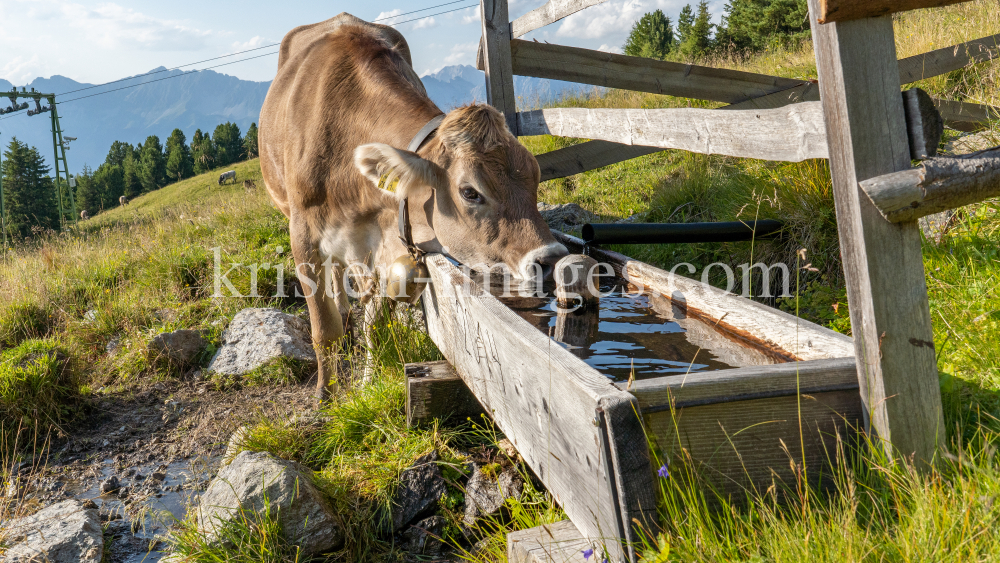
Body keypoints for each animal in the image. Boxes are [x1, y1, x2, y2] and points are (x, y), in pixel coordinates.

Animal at [258, 14, 568, 400]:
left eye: (536, 176)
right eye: (470, 192)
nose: (552, 259)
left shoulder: (387, 243)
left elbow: (376, 325)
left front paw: (368, 383)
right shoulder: (302, 237)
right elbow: (323, 330)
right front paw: (325, 397)